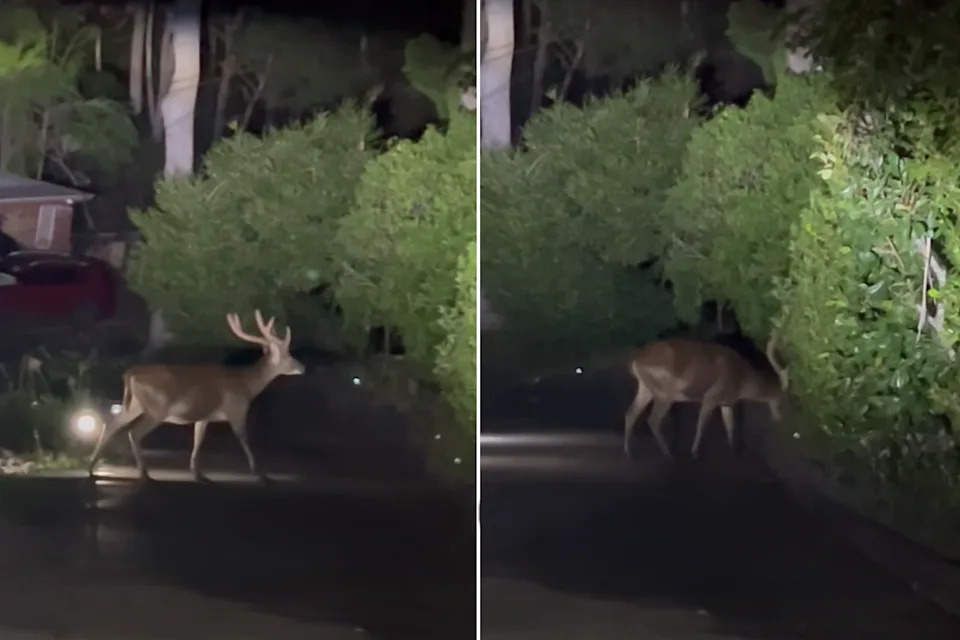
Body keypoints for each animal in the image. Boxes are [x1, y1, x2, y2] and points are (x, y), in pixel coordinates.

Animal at [88, 309, 305, 482]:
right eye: (288, 356)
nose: (302, 367)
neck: (246, 385)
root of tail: (129, 374)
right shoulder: (237, 410)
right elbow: (244, 440)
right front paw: (260, 473)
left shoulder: (203, 417)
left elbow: (198, 441)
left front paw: (198, 473)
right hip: (156, 408)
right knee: (134, 432)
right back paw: (144, 473)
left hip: (135, 404)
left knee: (111, 423)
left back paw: (92, 467)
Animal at [623, 333, 788, 460]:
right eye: (780, 398)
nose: (779, 419)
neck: (741, 383)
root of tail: (634, 361)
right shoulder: (711, 396)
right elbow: (701, 424)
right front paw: (695, 452)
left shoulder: (725, 402)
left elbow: (730, 424)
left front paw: (733, 449)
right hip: (664, 393)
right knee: (653, 420)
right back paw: (668, 453)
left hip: (646, 389)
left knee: (630, 413)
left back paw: (628, 452)